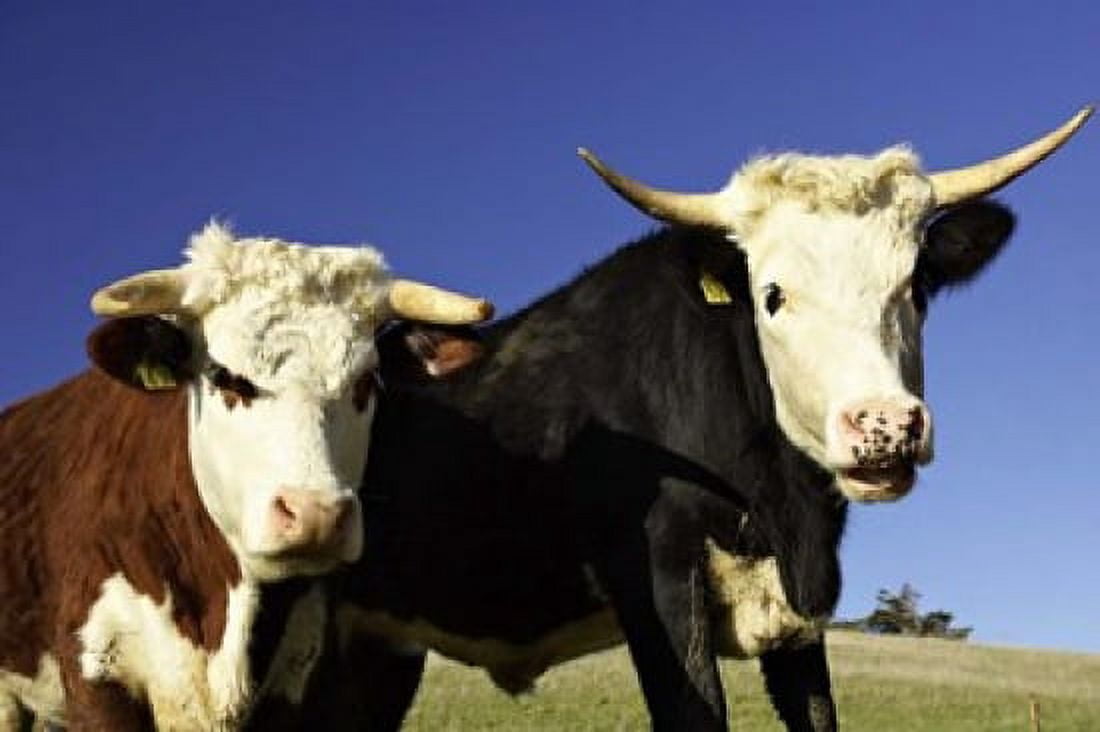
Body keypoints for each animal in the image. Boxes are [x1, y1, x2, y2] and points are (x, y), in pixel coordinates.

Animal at [294, 107, 1091, 732]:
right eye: (773, 294)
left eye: (917, 285)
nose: (885, 427)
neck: (780, 509)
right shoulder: (660, 587)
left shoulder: (799, 625)